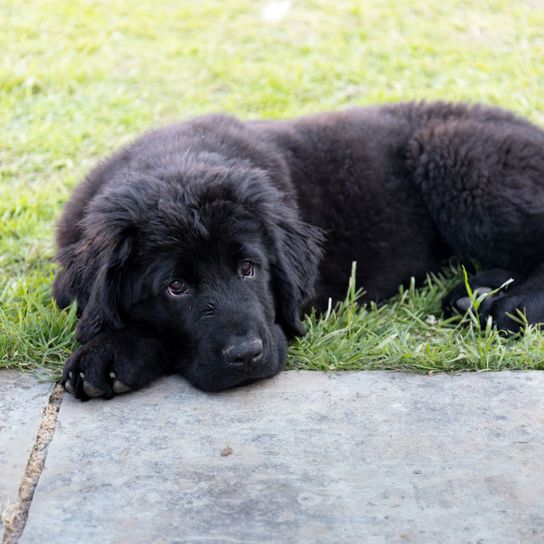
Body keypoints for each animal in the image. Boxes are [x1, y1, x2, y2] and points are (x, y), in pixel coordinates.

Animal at [54, 102, 544, 400]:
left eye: (249, 268)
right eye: (175, 287)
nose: (246, 355)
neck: (178, 160)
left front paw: (111, 352)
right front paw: (112, 350)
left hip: (458, 158)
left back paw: (509, 305)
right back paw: (476, 294)